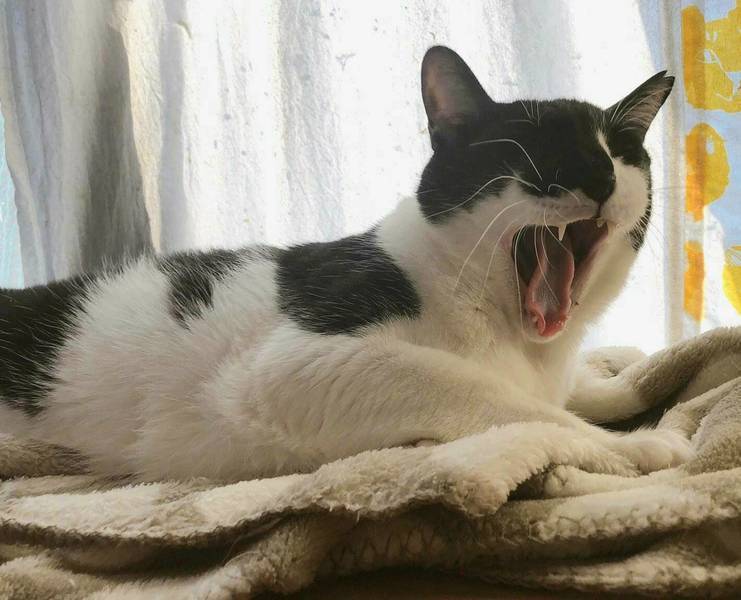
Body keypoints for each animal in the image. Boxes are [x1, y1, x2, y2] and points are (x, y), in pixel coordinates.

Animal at [0, 46, 692, 482]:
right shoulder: (295, 365)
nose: (601, 175)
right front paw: (641, 444)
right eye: (539, 150)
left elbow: (588, 387)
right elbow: (495, 394)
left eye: (620, 153)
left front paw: (631, 383)